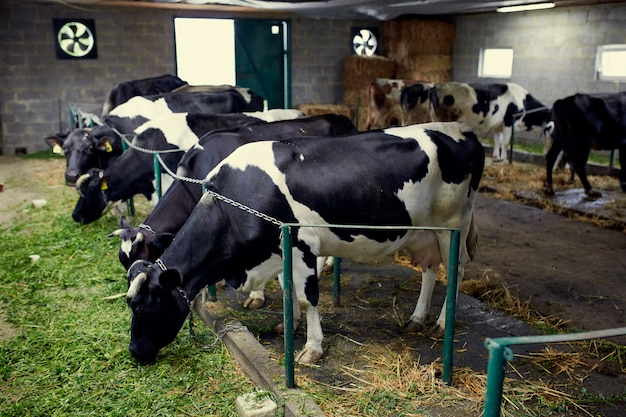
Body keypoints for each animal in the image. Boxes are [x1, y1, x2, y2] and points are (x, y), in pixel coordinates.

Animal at [123, 121, 482, 364]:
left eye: (140, 307)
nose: (134, 352)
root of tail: (462, 129)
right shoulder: (280, 251)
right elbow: (286, 288)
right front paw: (288, 325)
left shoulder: (302, 245)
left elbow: (307, 298)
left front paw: (311, 348)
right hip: (421, 230)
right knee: (430, 269)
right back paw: (417, 318)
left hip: (453, 224)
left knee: (457, 270)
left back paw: (441, 323)